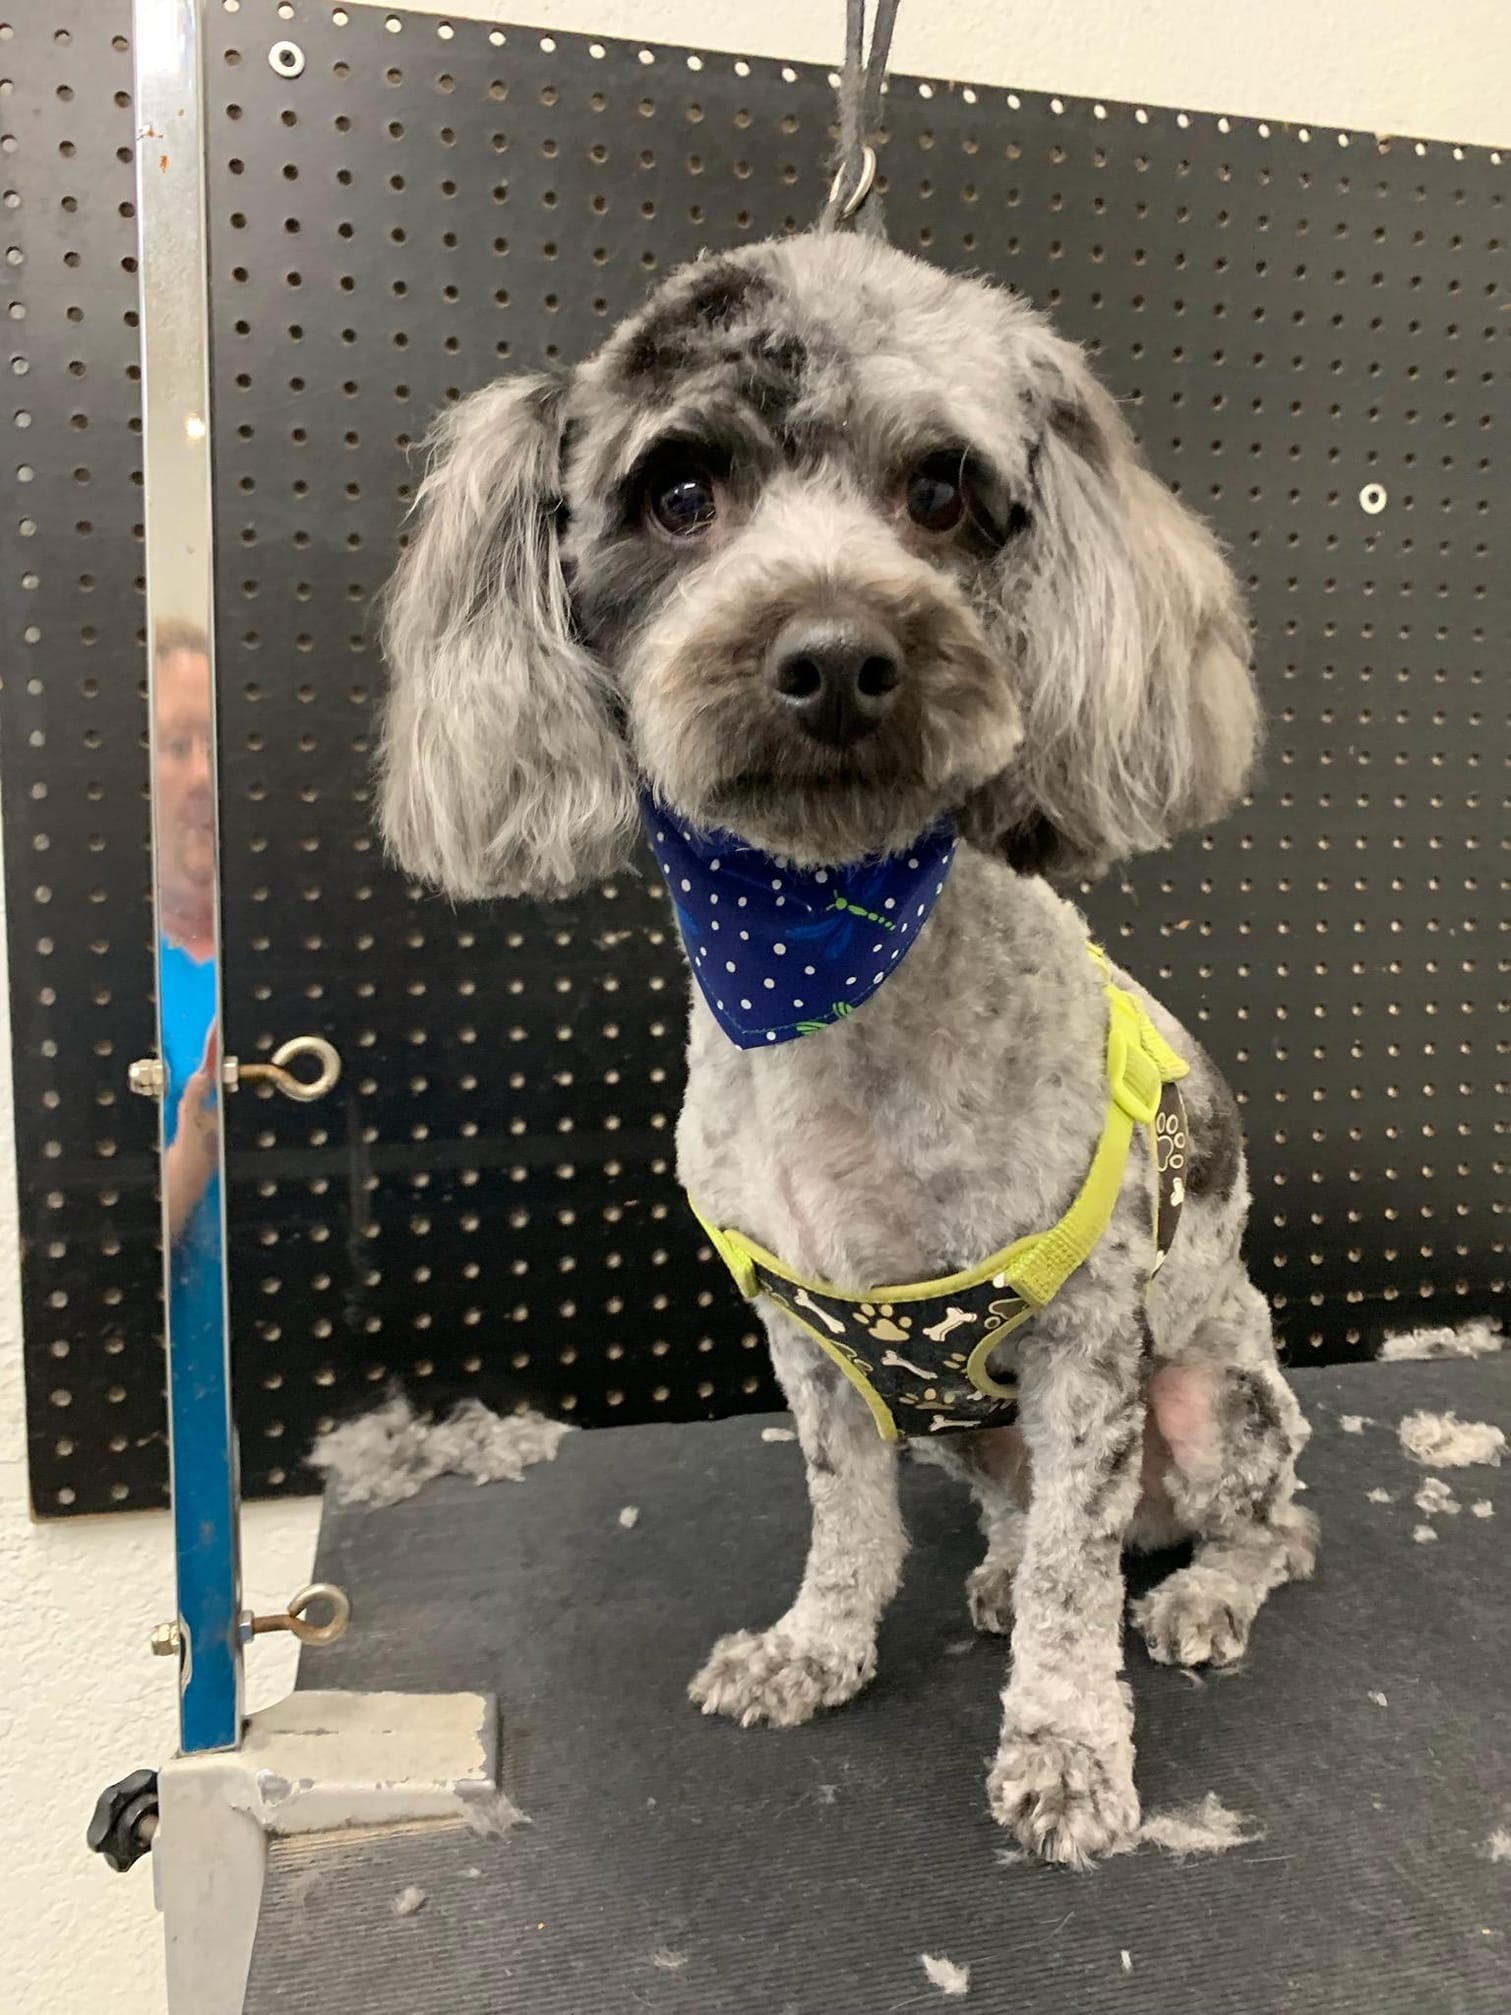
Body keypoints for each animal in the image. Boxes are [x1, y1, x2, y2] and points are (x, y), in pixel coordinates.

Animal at [377, 230, 1318, 1867]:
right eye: (677, 492)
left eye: (940, 490)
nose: (835, 655)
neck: (822, 979)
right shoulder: (812, 1343)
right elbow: (844, 1516)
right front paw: (812, 1648)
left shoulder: (1085, 1344)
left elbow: (1077, 1587)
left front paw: (1063, 1752)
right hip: (973, 1431)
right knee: (1025, 1517)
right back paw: (992, 1575)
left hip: (1215, 1394)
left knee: (1252, 1525)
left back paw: (1198, 1590)